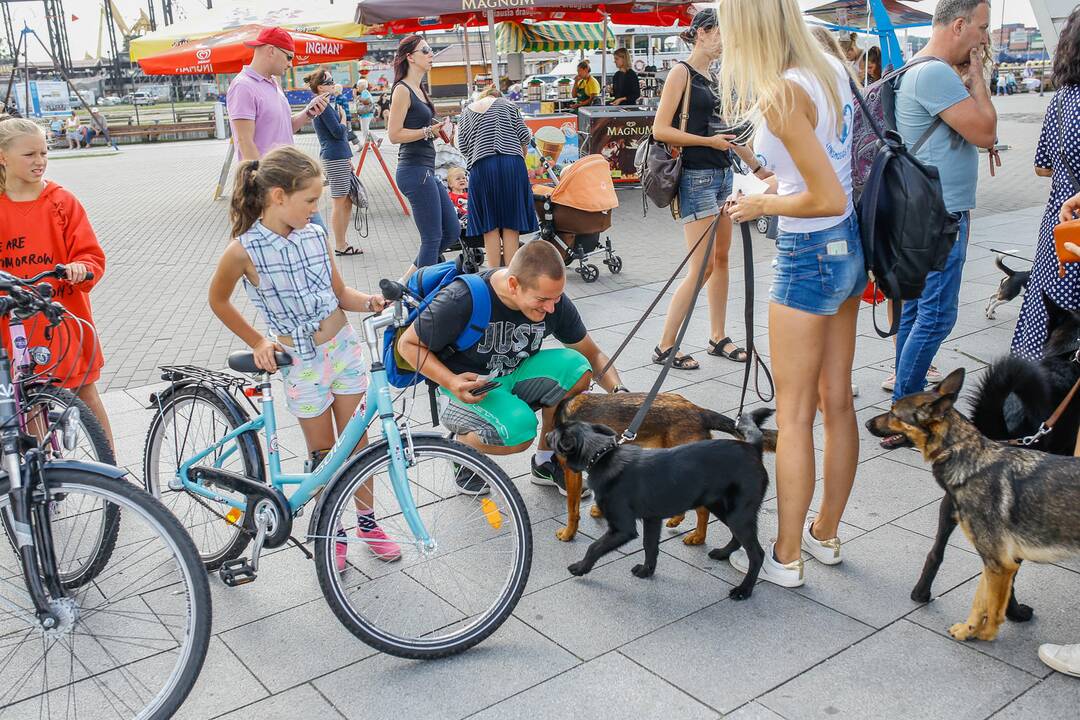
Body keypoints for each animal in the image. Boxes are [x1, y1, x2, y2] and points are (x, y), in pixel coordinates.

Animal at [548, 395, 777, 539]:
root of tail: (700, 412)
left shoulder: (572, 473)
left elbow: (572, 509)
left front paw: (568, 534)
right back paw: (679, 521)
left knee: (702, 509)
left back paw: (698, 537)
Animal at [548, 410, 777, 604]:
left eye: (556, 434)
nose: (548, 432)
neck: (601, 455)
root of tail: (752, 448)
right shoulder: (652, 518)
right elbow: (650, 546)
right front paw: (646, 571)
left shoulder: (623, 529)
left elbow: (594, 547)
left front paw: (580, 567)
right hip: (722, 507)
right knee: (737, 537)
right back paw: (723, 553)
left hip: (738, 513)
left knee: (757, 554)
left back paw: (744, 590)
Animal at [864, 369, 1080, 643]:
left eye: (893, 413)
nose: (866, 423)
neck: (965, 452)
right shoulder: (996, 559)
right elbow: (982, 599)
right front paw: (971, 629)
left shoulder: (999, 561)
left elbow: (990, 603)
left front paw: (982, 632)